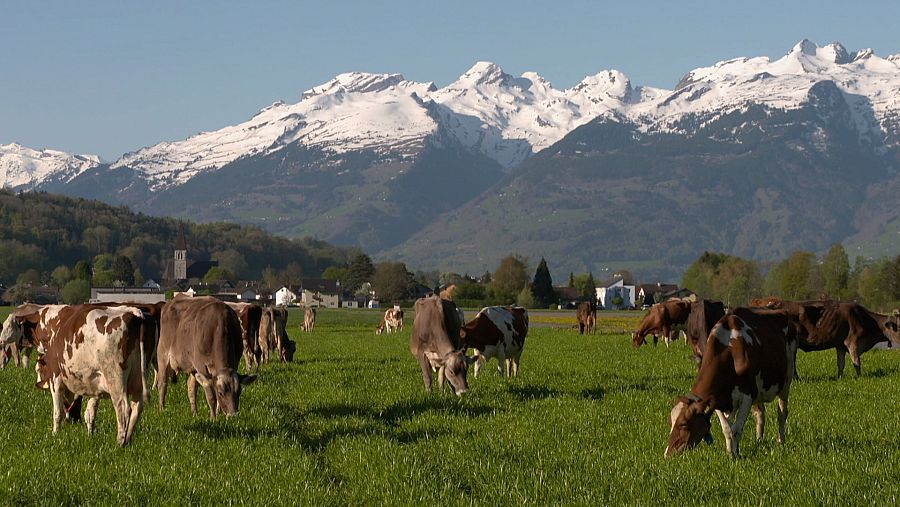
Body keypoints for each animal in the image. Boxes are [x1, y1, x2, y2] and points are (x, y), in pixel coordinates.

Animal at [0, 306, 152, 444]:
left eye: (7, 326)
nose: (1, 340)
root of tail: (135, 314)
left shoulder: (56, 379)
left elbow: (58, 412)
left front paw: (55, 434)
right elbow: (83, 410)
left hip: (116, 380)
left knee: (123, 409)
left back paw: (119, 442)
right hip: (139, 380)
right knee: (137, 408)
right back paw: (128, 440)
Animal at [664, 308, 800, 458]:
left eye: (683, 424)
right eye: (670, 422)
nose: (668, 454)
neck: (728, 349)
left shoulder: (747, 396)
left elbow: (736, 429)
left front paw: (735, 455)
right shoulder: (716, 400)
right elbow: (727, 429)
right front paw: (730, 452)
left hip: (786, 380)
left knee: (782, 413)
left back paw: (781, 440)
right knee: (760, 413)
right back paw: (759, 440)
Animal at [772, 300, 900, 380]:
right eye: (899, 328)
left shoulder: (840, 345)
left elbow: (841, 364)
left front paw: (839, 378)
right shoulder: (852, 342)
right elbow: (856, 362)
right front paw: (860, 378)